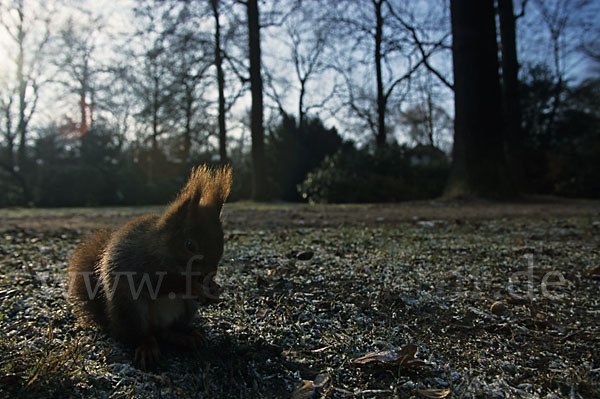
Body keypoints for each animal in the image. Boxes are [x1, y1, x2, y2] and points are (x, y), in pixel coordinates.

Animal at [67, 165, 232, 368]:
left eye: (221, 241)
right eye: (190, 245)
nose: (210, 273)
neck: (160, 245)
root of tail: (113, 324)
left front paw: (214, 289)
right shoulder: (141, 266)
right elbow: (163, 285)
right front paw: (195, 288)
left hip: (186, 310)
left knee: (166, 332)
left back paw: (184, 336)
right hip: (131, 309)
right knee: (142, 335)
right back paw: (147, 347)